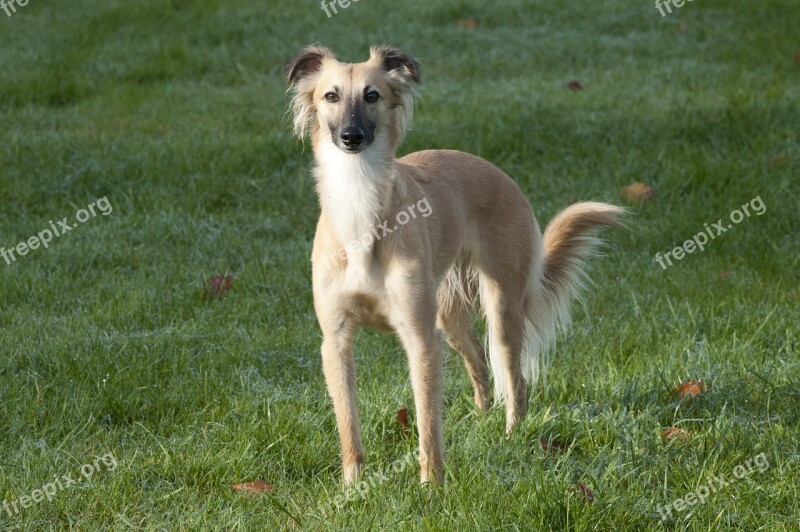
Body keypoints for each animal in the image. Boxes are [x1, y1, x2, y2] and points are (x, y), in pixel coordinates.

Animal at [286, 44, 624, 486]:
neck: (361, 206)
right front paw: (352, 485)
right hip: (448, 316)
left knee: (514, 378)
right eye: (330, 96)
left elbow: (428, 422)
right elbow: (348, 423)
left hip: (501, 306)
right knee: (479, 361)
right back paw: (482, 419)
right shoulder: (336, 340)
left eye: (372, 95)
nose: (351, 137)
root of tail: (496, 171)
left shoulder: (420, 338)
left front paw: (431, 485)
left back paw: (511, 437)